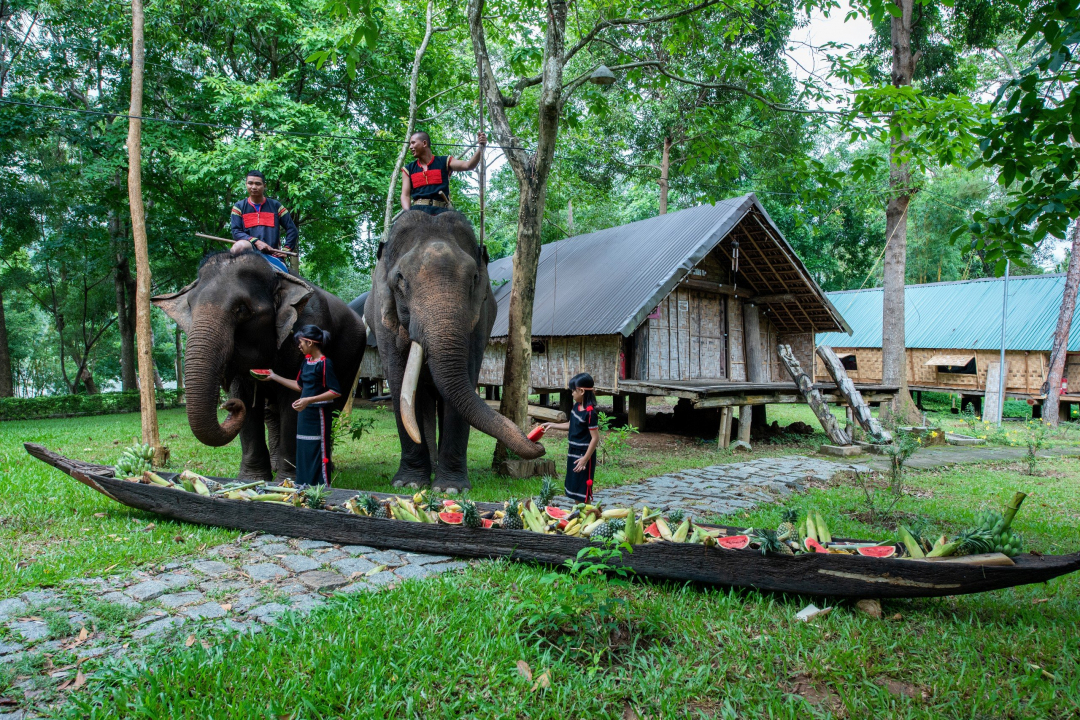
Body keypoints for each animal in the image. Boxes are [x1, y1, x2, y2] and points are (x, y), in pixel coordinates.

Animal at [153, 250, 367, 481]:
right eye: (190, 307)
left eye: (241, 309)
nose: (227, 405)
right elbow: (246, 399)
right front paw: (252, 479)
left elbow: (294, 400)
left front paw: (287, 480)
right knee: (271, 413)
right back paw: (275, 465)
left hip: (351, 359)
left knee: (331, 408)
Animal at [367, 207, 544, 490]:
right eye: (400, 279)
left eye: (474, 278)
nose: (538, 441)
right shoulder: (382, 321)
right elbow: (398, 383)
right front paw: (408, 484)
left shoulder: (480, 320)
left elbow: (466, 379)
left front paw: (450, 487)